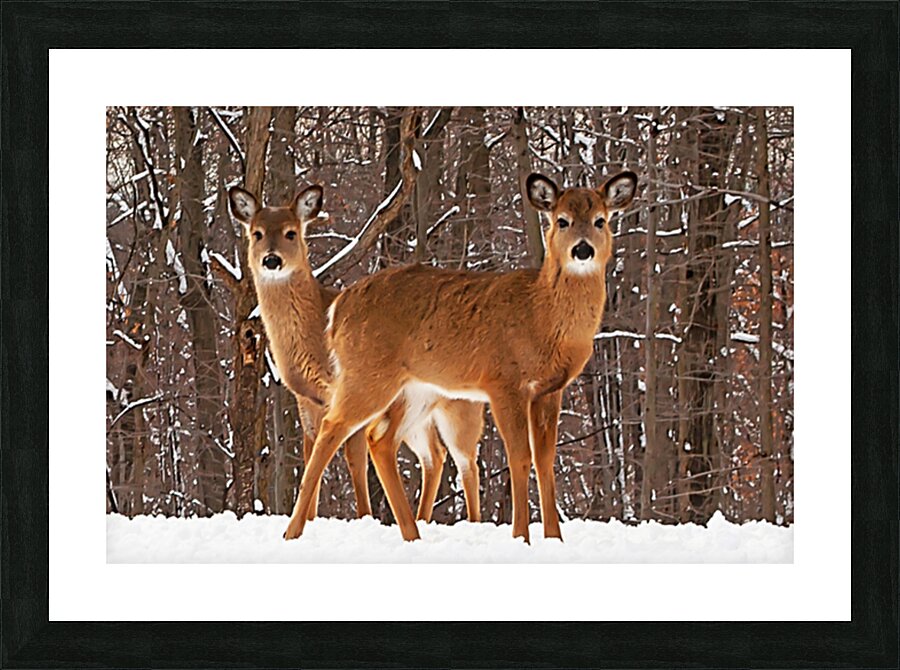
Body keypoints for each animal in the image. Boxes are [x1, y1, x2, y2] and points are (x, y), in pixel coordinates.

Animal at [228, 185, 484, 531]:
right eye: (256, 233)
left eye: (291, 232)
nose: (271, 259)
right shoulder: (307, 400)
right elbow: (311, 456)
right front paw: (311, 518)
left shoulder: (344, 394)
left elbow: (354, 459)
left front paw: (364, 517)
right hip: (418, 413)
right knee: (434, 454)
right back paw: (421, 519)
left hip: (459, 407)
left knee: (466, 460)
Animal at [282, 170, 638, 543]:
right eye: (562, 220)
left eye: (600, 220)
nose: (582, 249)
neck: (541, 316)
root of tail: (337, 309)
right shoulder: (504, 381)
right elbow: (520, 457)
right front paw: (521, 537)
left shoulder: (549, 390)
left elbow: (545, 460)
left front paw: (554, 539)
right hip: (367, 373)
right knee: (332, 428)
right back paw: (293, 531)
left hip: (415, 390)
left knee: (380, 440)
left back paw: (412, 534)